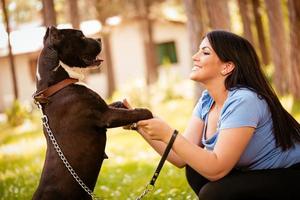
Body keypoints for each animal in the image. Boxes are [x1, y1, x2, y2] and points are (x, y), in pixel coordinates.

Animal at [32, 25, 152, 199]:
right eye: (81, 36)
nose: (99, 38)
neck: (56, 87)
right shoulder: (106, 115)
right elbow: (141, 112)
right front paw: (149, 115)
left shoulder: (106, 108)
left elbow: (119, 104)